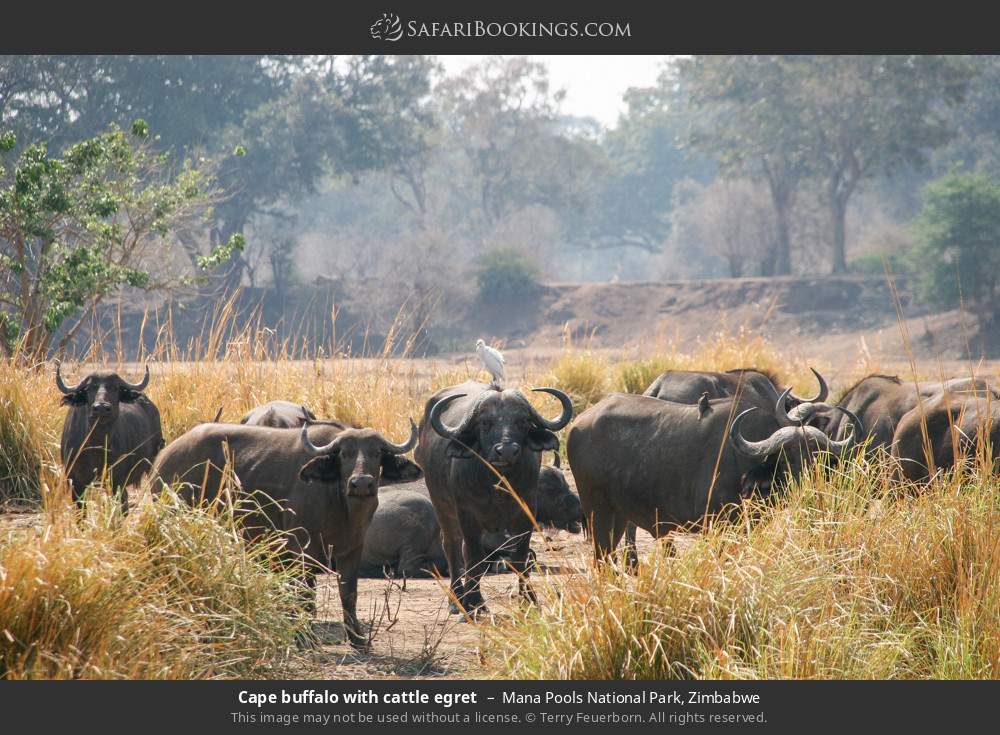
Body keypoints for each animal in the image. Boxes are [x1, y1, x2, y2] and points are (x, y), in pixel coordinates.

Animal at [56, 362, 163, 513]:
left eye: (115, 387)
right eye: (89, 388)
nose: (101, 407)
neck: (97, 446)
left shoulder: (117, 481)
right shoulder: (76, 483)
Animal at [150, 418, 422, 648]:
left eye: (377, 453)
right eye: (344, 454)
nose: (361, 483)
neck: (340, 504)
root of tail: (164, 459)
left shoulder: (352, 549)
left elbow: (349, 593)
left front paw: (357, 638)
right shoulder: (301, 549)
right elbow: (305, 595)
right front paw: (305, 637)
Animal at [415, 381, 574, 615]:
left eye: (523, 421)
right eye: (485, 423)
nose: (506, 451)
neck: (497, 484)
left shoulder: (526, 512)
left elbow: (520, 558)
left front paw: (529, 600)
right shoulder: (467, 514)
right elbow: (473, 558)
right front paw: (473, 603)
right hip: (442, 506)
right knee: (453, 548)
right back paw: (456, 600)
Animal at [567, 390, 860, 562]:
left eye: (816, 455)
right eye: (787, 456)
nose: (808, 483)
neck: (743, 462)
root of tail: (578, 426)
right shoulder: (718, 525)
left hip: (617, 516)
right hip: (598, 513)